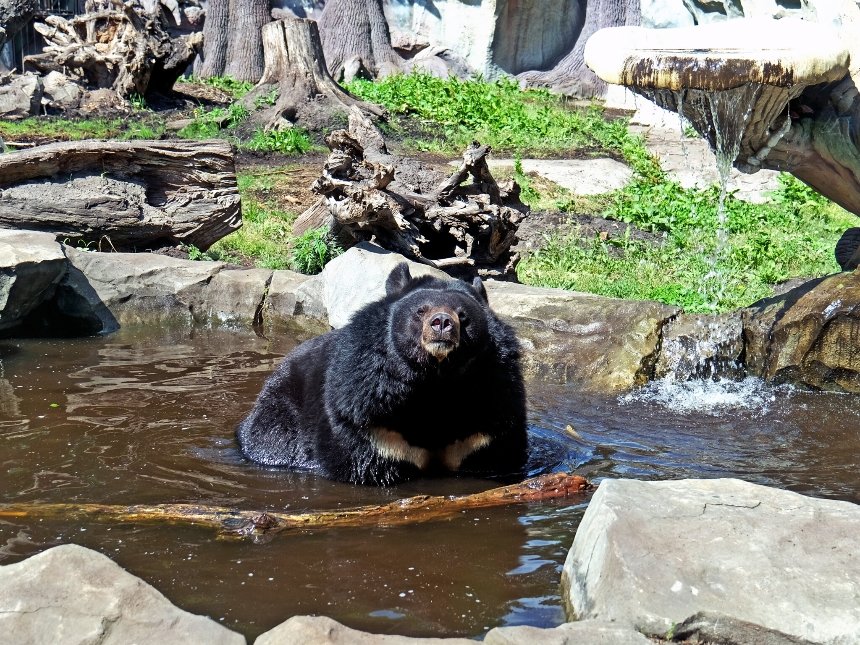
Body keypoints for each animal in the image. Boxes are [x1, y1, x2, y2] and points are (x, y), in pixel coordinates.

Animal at [237, 262, 532, 484]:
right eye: (420, 311)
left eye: (463, 315)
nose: (442, 323)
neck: (435, 380)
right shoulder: (368, 416)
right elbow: (362, 463)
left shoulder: (489, 411)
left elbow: (490, 454)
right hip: (280, 414)